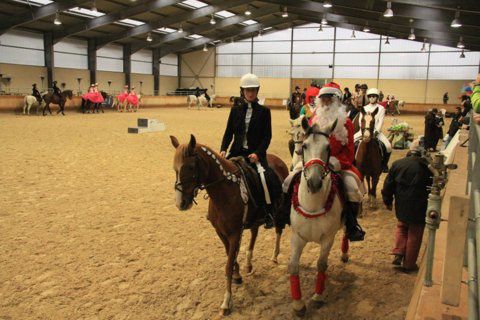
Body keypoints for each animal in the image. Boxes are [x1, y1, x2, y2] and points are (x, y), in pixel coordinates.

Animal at [171, 134, 286, 316]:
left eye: (190, 167)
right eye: (174, 167)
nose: (180, 203)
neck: (225, 190)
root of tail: (279, 161)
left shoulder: (235, 233)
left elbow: (227, 265)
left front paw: (226, 302)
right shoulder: (221, 232)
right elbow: (230, 258)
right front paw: (238, 274)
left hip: (280, 211)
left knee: (279, 230)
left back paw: (275, 256)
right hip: (255, 218)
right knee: (254, 233)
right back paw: (249, 263)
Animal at [288, 116, 344, 316]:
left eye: (328, 148)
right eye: (305, 146)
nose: (313, 183)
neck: (312, 205)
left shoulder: (328, 239)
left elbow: (321, 264)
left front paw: (318, 297)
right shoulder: (297, 237)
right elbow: (293, 266)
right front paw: (298, 304)